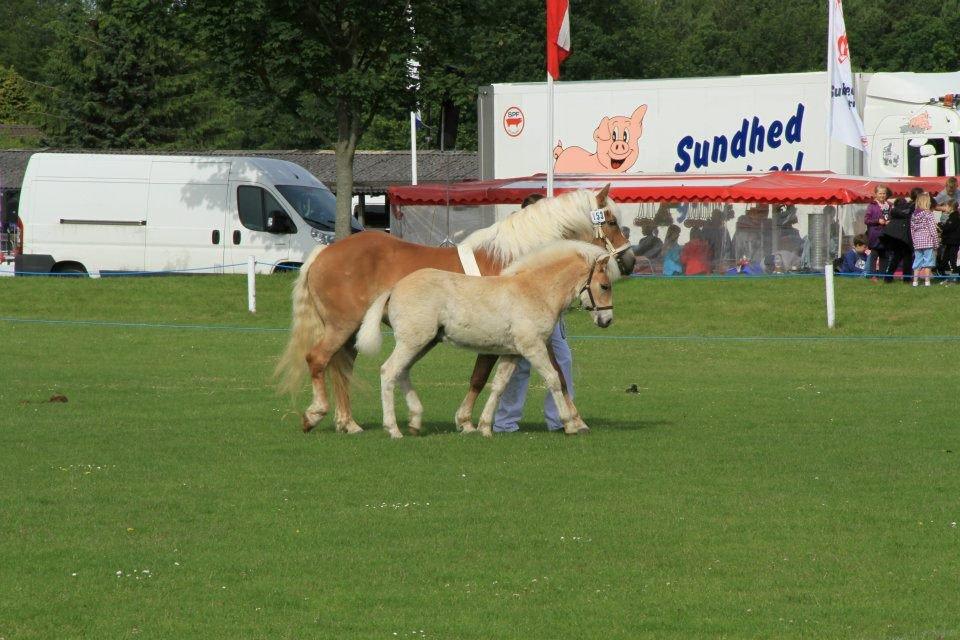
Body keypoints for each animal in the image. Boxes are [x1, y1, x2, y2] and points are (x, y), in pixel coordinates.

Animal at [358, 242, 616, 438]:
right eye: (605, 285)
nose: (607, 320)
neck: (535, 291)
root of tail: (394, 288)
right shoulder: (533, 348)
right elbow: (553, 378)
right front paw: (570, 424)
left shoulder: (512, 353)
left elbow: (499, 385)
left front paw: (483, 427)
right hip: (413, 342)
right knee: (389, 371)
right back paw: (393, 429)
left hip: (423, 343)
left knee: (402, 372)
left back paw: (415, 420)